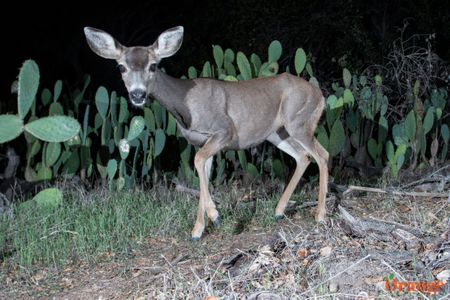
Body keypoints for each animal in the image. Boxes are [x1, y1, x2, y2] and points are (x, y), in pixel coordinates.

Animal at [84, 26, 328, 241]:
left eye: (153, 66)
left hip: (299, 123)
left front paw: (215, 217)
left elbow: (198, 161)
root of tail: (320, 94)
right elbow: (203, 171)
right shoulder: (203, 142)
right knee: (303, 157)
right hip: (277, 133)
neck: (185, 105)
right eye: (121, 67)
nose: (137, 94)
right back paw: (279, 211)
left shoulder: (224, 130)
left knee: (322, 155)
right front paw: (197, 231)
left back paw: (319, 215)